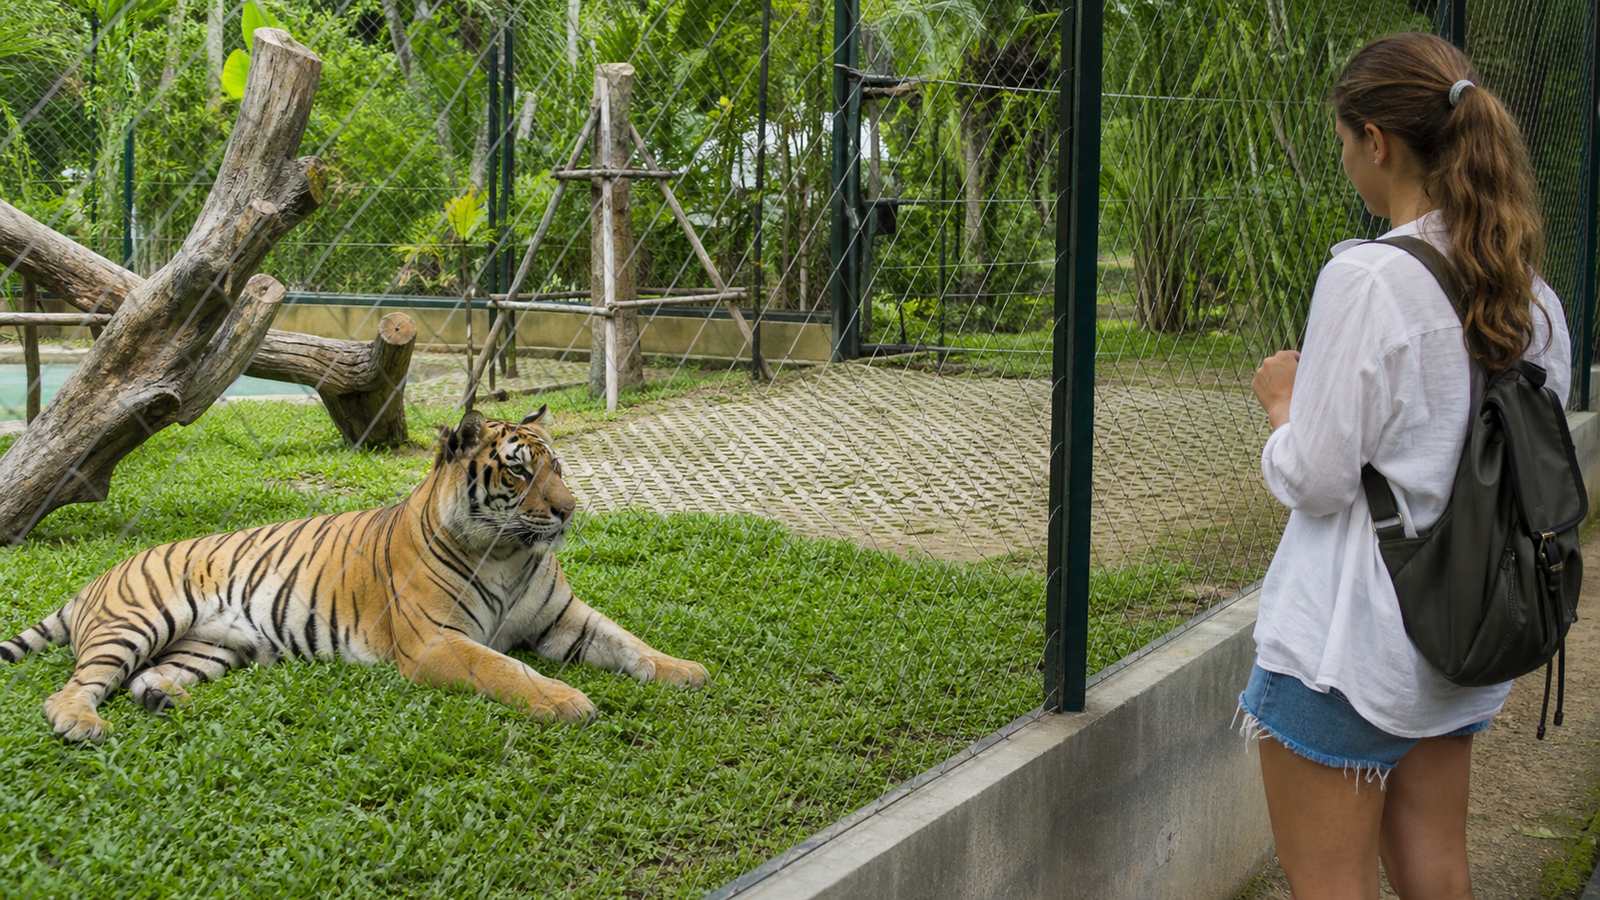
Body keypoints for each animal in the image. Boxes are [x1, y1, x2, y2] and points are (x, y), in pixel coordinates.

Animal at [0, 407, 707, 743]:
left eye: (556, 466)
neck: (508, 554)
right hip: (138, 620)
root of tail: (94, 579)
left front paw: (686, 671)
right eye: (517, 470)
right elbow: (507, 668)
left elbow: (629, 642)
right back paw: (81, 723)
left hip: (211, 647)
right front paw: (566, 701)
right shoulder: (436, 642)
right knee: (75, 687)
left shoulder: (566, 620)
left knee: (146, 678)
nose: (568, 510)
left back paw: (164, 699)